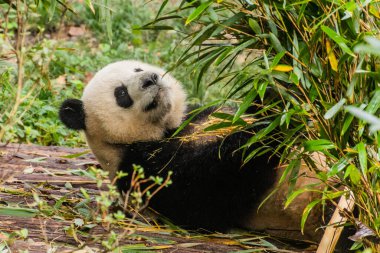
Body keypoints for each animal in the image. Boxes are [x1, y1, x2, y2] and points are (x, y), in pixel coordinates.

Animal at [59, 60, 330, 242]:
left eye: (136, 69)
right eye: (121, 93)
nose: (151, 79)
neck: (166, 129)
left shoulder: (200, 114)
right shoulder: (140, 168)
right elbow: (204, 199)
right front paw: (266, 131)